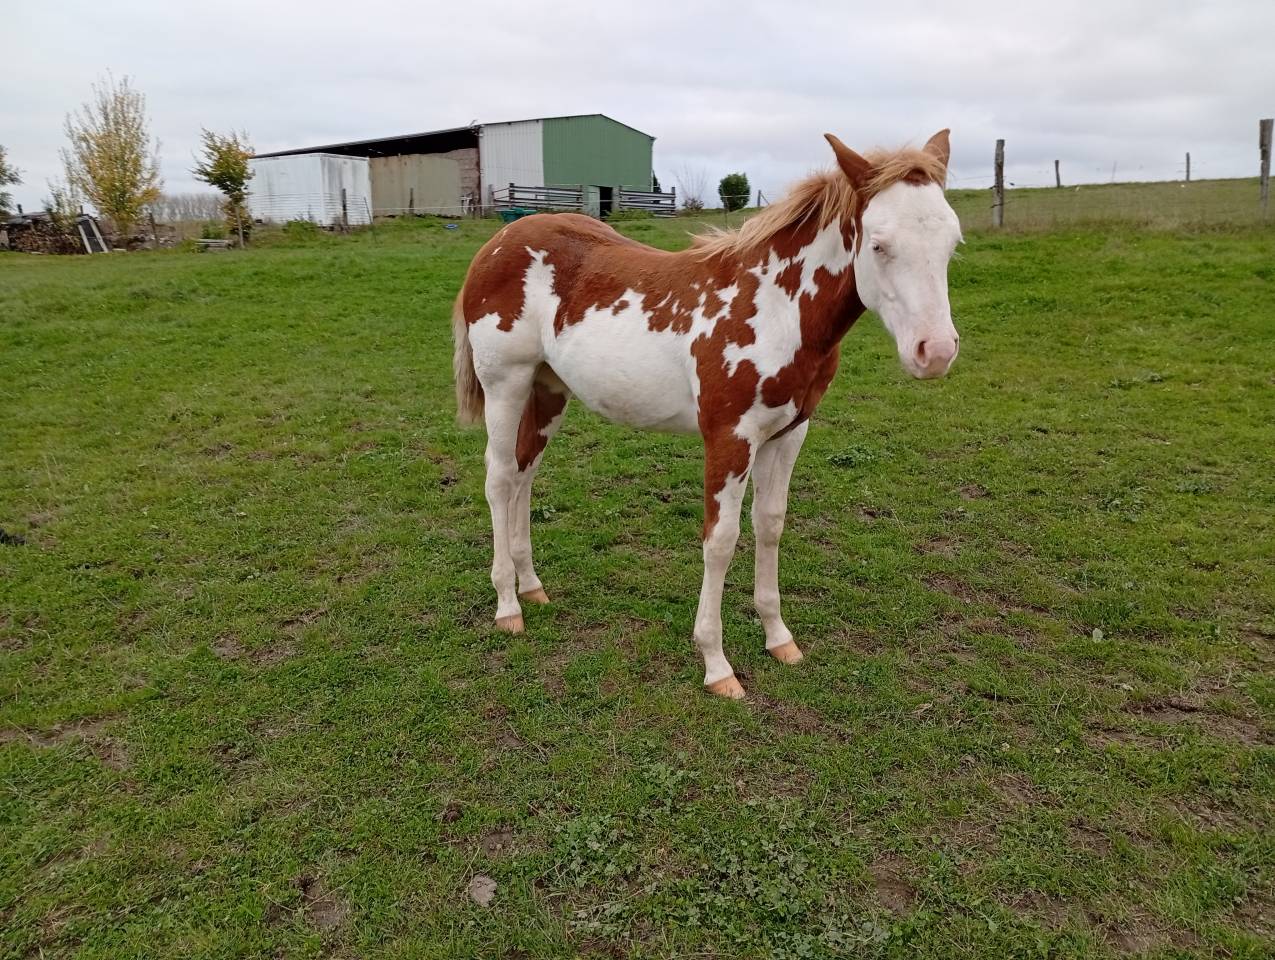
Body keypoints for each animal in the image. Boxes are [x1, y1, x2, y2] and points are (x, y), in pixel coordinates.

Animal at [452, 130, 962, 698]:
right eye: (878, 244)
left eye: (952, 244)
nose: (936, 352)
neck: (776, 308)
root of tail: (497, 242)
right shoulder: (729, 437)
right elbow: (720, 541)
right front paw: (717, 665)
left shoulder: (789, 433)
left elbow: (770, 525)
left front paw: (779, 638)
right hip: (506, 384)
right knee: (499, 478)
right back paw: (508, 605)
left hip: (547, 391)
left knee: (524, 473)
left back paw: (532, 586)